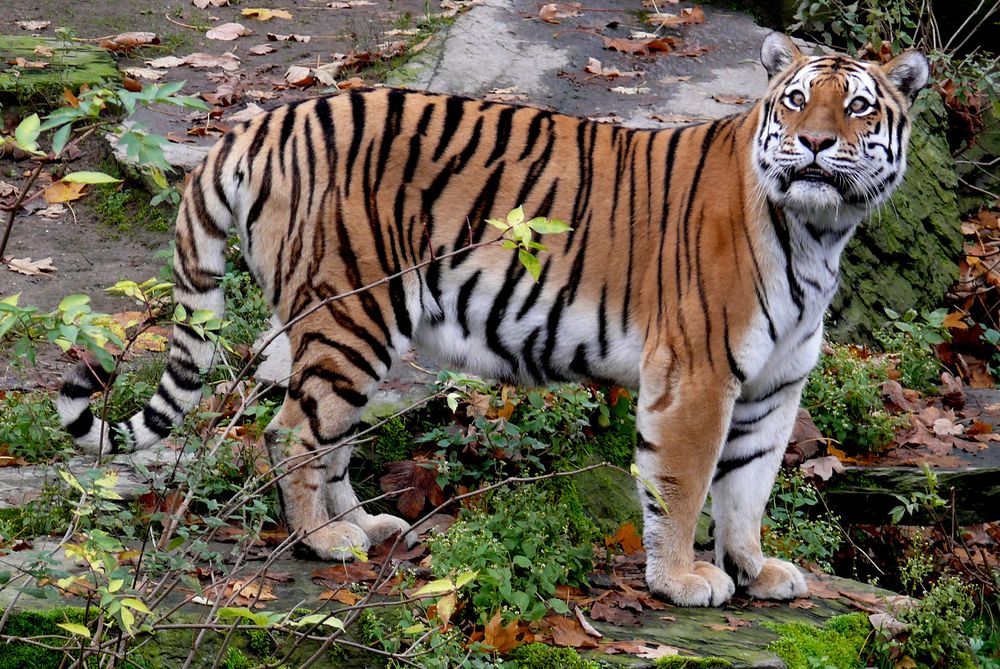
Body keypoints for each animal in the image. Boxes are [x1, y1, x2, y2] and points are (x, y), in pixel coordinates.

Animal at [56, 31, 928, 604]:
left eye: (857, 107)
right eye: (796, 101)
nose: (812, 143)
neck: (819, 232)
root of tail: (270, 119)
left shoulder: (773, 388)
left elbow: (749, 486)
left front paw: (754, 569)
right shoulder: (697, 376)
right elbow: (684, 487)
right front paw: (684, 578)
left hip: (360, 334)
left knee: (328, 437)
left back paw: (367, 525)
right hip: (350, 315)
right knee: (289, 433)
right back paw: (325, 542)